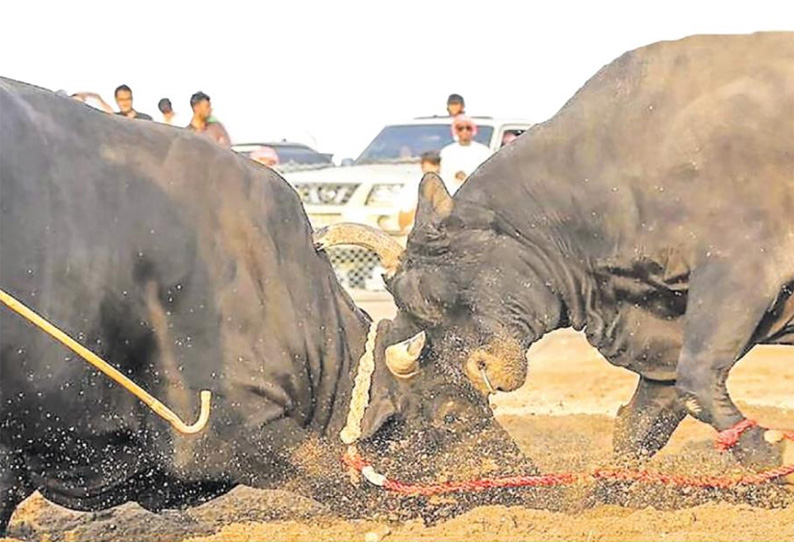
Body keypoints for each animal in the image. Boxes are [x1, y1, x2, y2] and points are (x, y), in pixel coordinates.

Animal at [318, 33, 792, 476]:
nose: (472, 372)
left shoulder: (741, 270)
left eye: (429, 295)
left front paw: (767, 448)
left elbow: (695, 378)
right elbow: (644, 421)